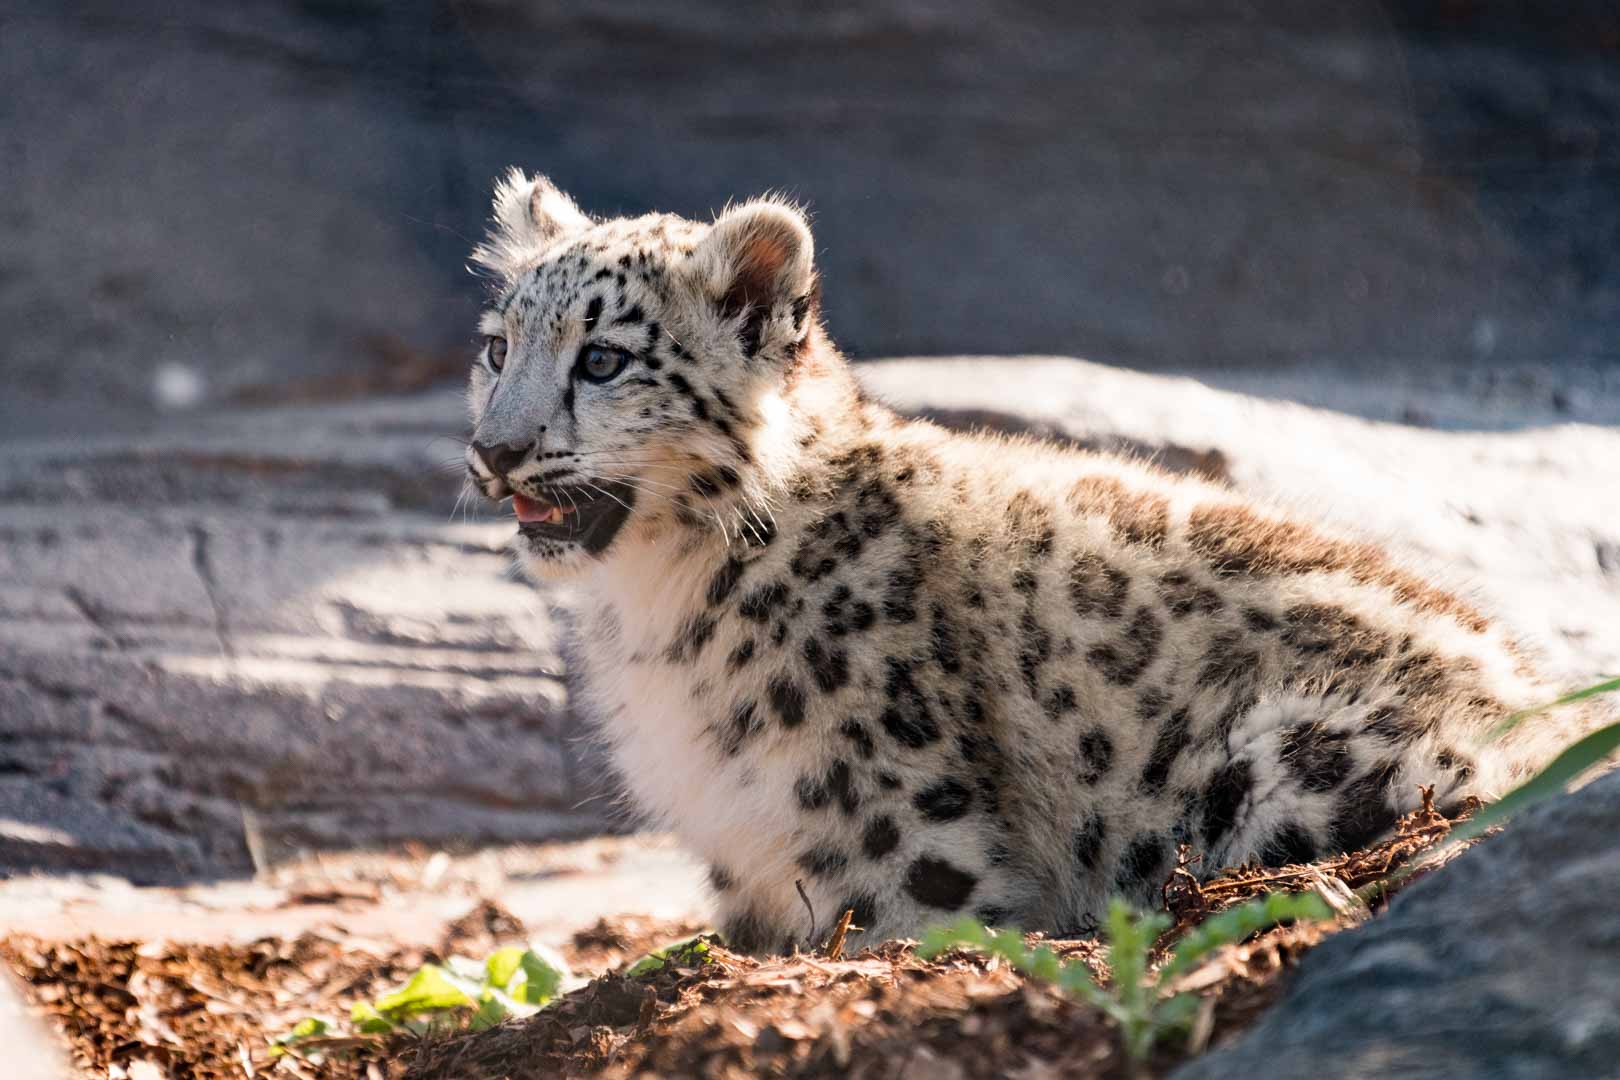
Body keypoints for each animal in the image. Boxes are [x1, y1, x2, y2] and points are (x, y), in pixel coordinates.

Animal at [462, 170, 1602, 953]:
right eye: (497, 347)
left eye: (603, 358)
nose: (494, 449)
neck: (655, 602)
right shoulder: (746, 860)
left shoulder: (906, 847)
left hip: (1280, 759)